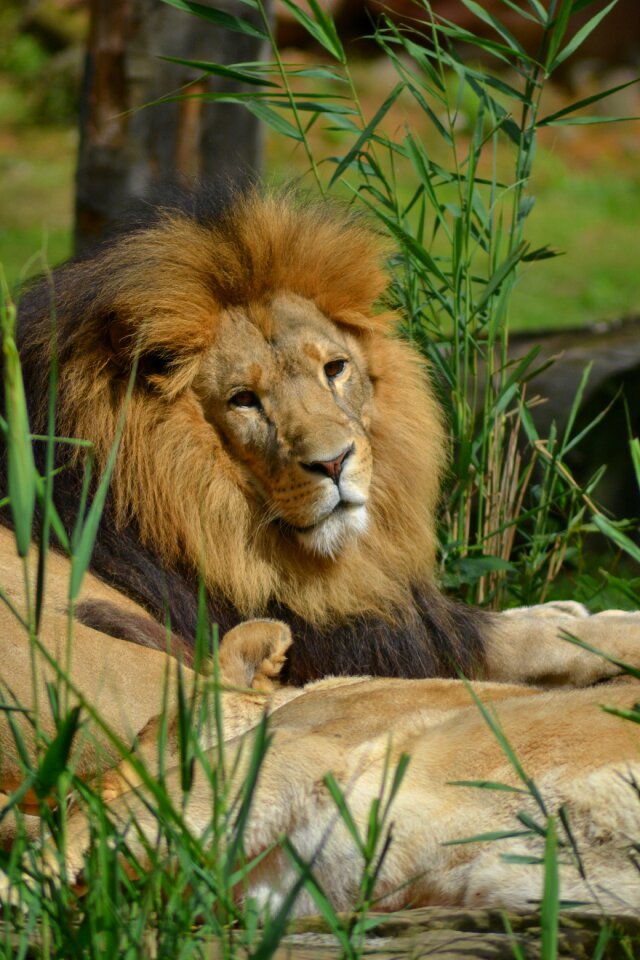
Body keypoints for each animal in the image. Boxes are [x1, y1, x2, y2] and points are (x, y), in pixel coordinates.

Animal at [2, 182, 636, 688]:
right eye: (244, 400)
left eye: (334, 369)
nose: (335, 463)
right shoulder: (359, 643)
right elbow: (530, 639)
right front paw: (607, 630)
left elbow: (532, 618)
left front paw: (576, 609)